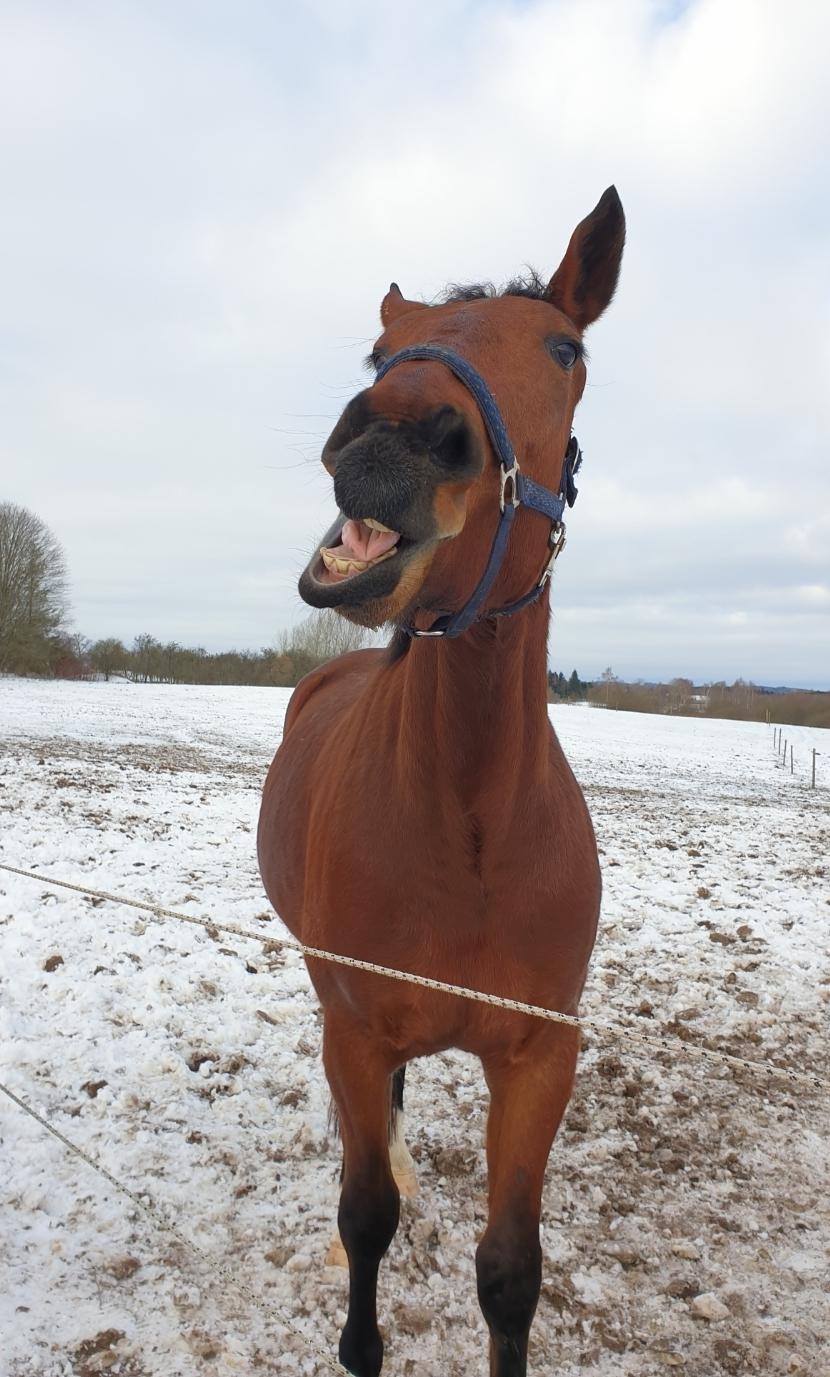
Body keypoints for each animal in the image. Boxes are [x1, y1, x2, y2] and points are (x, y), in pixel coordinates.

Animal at [258, 185, 622, 1377]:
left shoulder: (541, 1056)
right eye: (379, 351)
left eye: (564, 349)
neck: (469, 824)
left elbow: (508, 1273)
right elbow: (365, 1215)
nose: (392, 440)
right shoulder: (356, 1028)